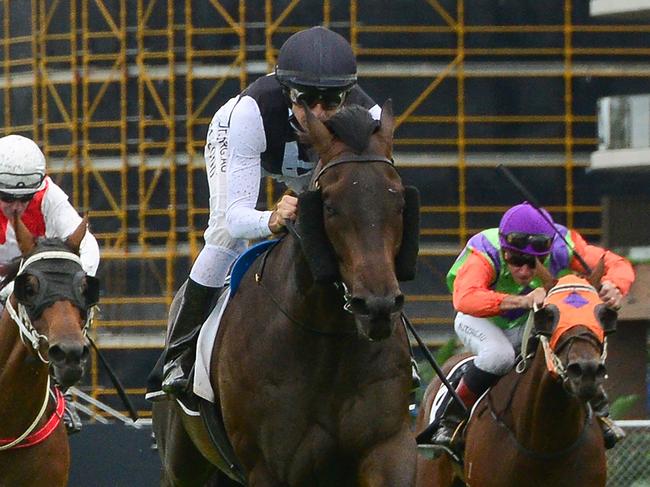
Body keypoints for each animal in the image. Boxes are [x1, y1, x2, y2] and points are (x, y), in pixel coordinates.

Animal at [152, 100, 418, 487]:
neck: (326, 338)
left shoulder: (388, 447)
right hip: (181, 465)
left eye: (397, 202)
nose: (377, 306)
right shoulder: (268, 467)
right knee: (221, 235)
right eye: (329, 205)